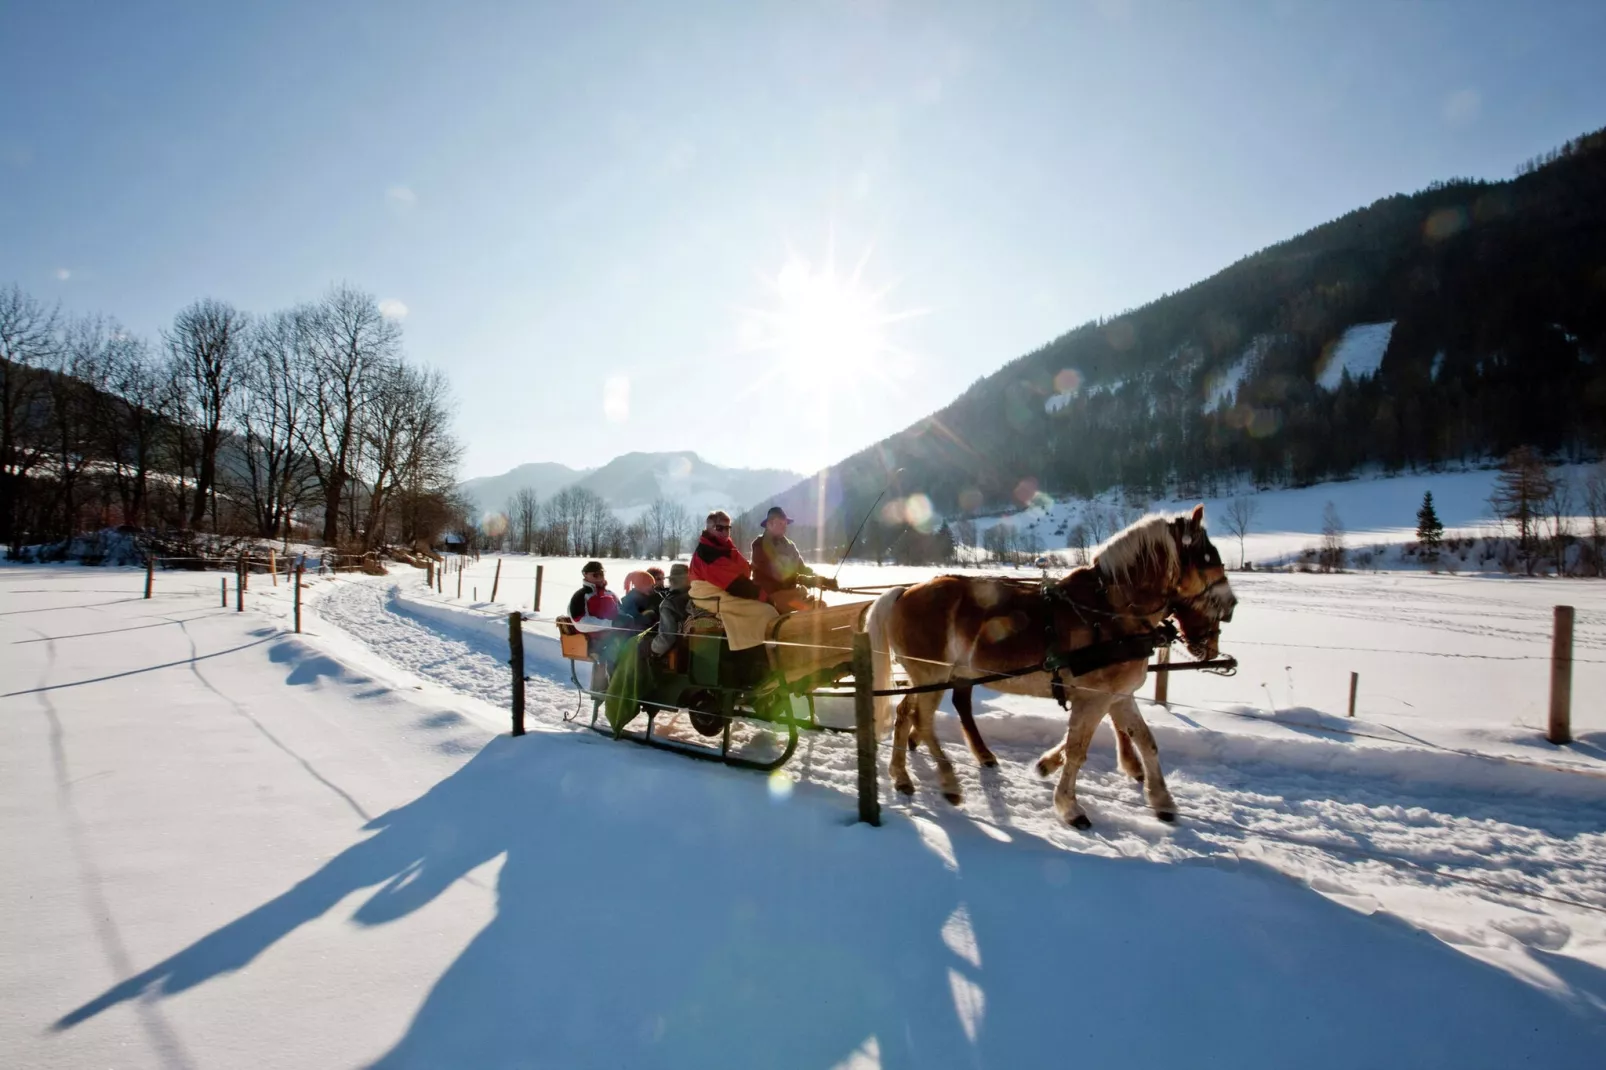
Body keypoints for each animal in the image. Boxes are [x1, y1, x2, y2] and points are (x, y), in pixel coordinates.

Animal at [867, 507, 1239, 822]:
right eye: (1206, 558)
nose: (1232, 607)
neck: (1111, 612)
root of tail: (905, 592)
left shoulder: (1119, 697)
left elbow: (1146, 741)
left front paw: (1162, 801)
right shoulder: (1093, 698)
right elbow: (1077, 750)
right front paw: (1069, 806)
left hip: (929, 676)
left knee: (905, 714)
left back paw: (902, 775)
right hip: (931, 673)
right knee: (923, 720)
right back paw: (948, 782)